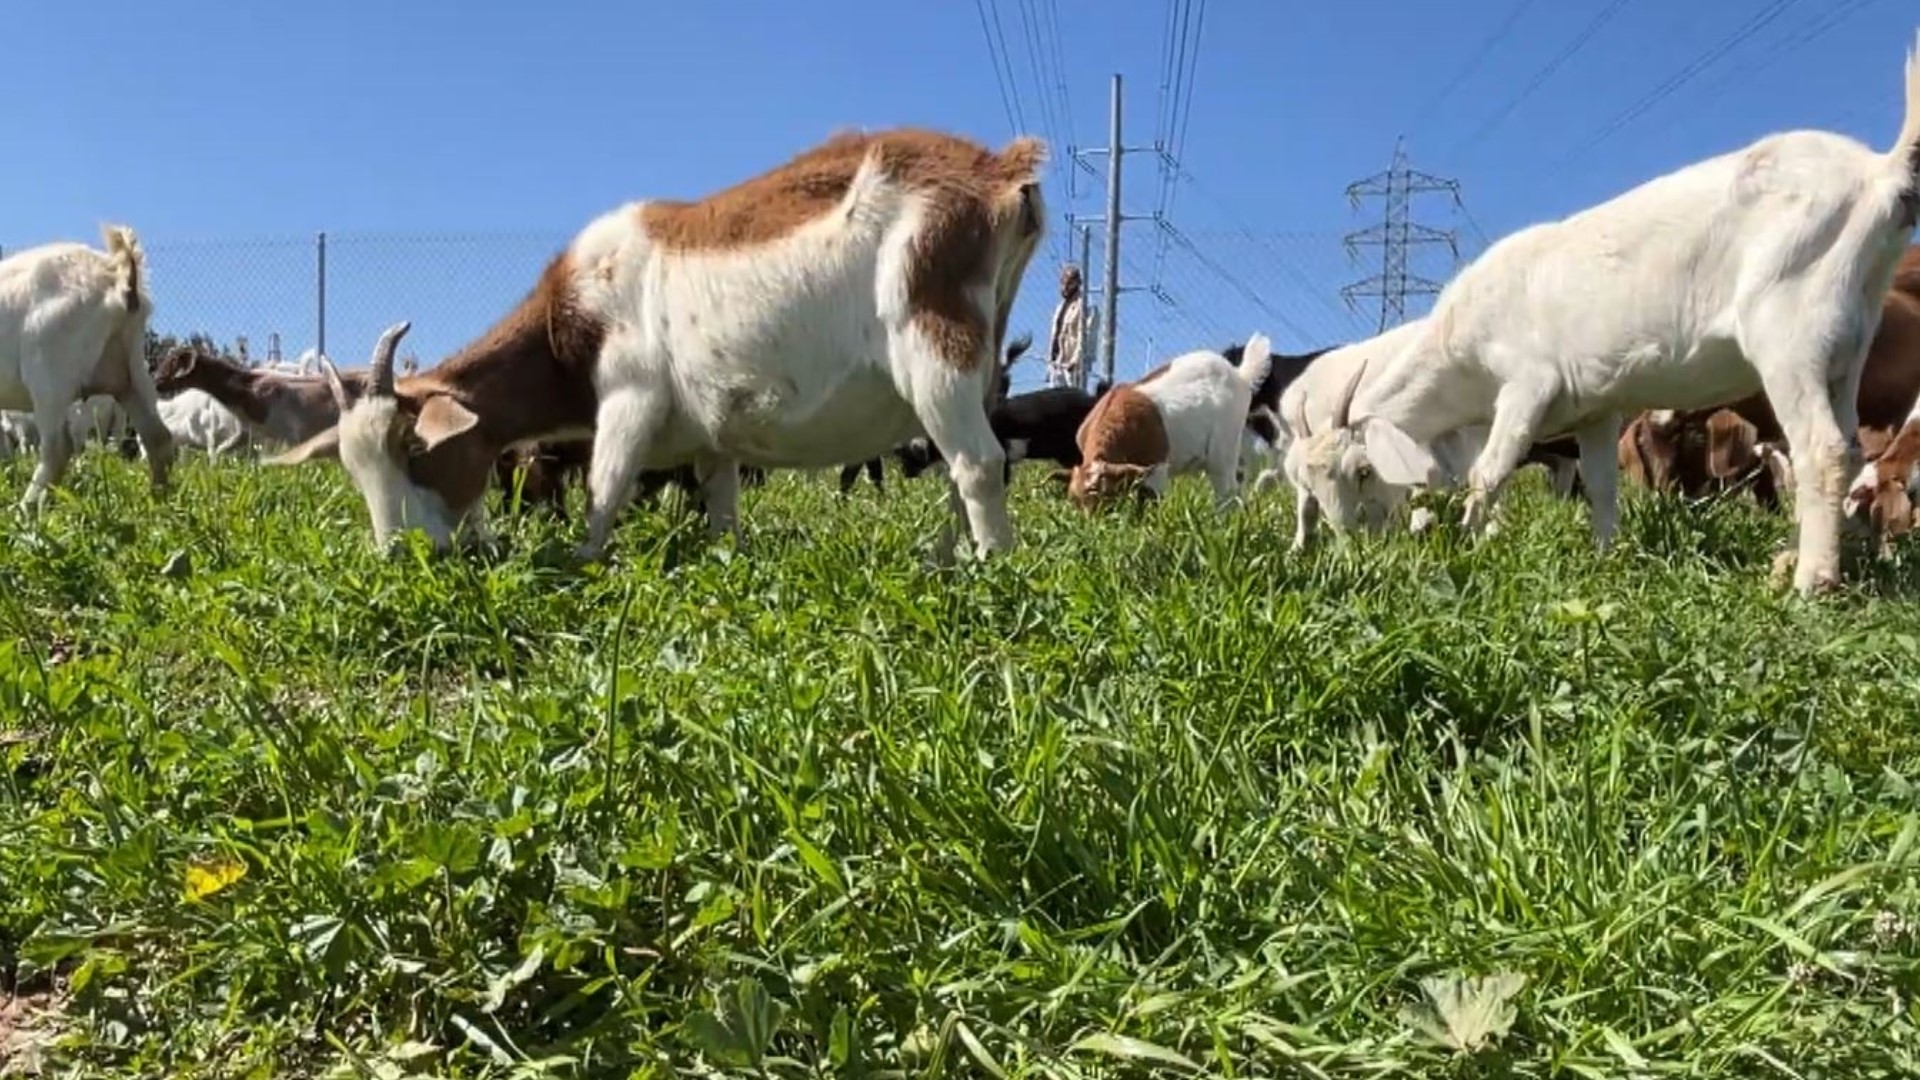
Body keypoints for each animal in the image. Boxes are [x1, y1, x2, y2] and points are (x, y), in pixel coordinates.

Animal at [0, 224, 174, 511]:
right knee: (157, 437)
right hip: (132, 369)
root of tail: (117, 277)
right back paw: (158, 501)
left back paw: (27, 509)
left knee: (58, 448)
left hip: (50, 371)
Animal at [268, 127, 1044, 564]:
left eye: (415, 447)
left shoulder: (629, 396)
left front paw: (582, 558)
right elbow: (719, 499)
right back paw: (946, 559)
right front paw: (728, 558)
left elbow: (605, 486)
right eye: (352, 465)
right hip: (980, 360)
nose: (396, 557)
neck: (570, 314)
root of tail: (1002, 170)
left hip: (934, 342)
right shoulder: (714, 432)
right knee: (965, 467)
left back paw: (995, 570)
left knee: (978, 463)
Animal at [1274, 35, 1920, 588]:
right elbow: (1605, 490)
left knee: (1820, 449)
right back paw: (1813, 560)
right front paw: (1606, 559)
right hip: (1847, 344)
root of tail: (1878, 175)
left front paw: (1472, 547)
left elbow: (1489, 473)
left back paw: (1811, 581)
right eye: (1306, 479)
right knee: (1850, 448)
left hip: (1790, 332)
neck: (1459, 347)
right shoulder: (1595, 409)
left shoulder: (1528, 385)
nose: (1349, 545)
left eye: (1361, 470)